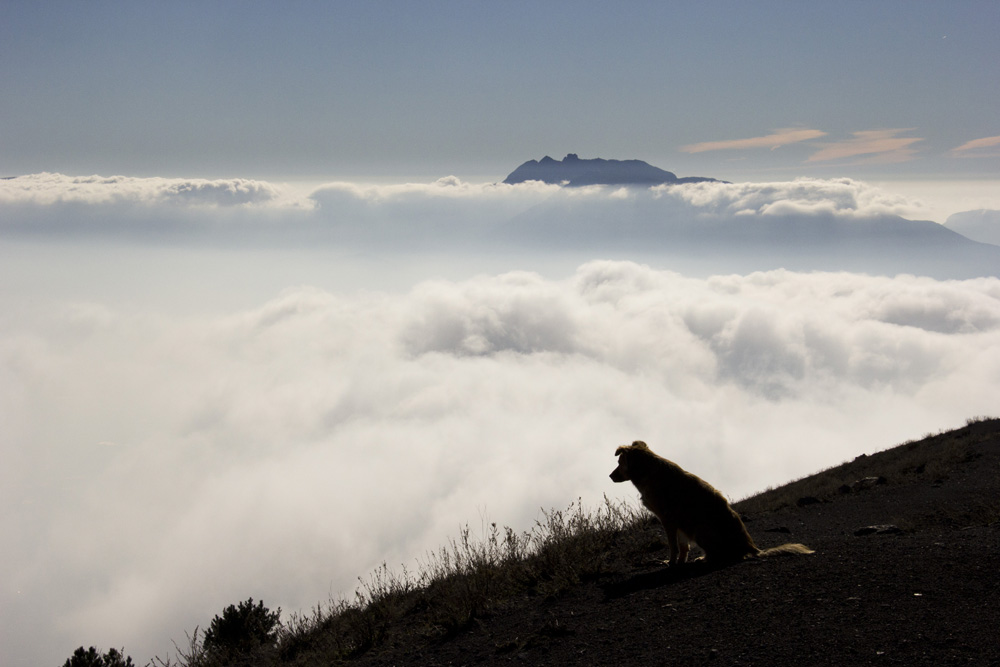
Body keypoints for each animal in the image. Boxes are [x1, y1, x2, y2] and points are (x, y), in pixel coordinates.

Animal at [608, 440, 812, 568]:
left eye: (619, 462)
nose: (610, 476)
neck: (647, 470)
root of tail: (751, 547)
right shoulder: (680, 524)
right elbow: (683, 546)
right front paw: (680, 562)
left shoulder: (668, 520)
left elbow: (674, 546)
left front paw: (671, 563)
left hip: (701, 529)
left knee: (722, 555)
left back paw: (706, 559)